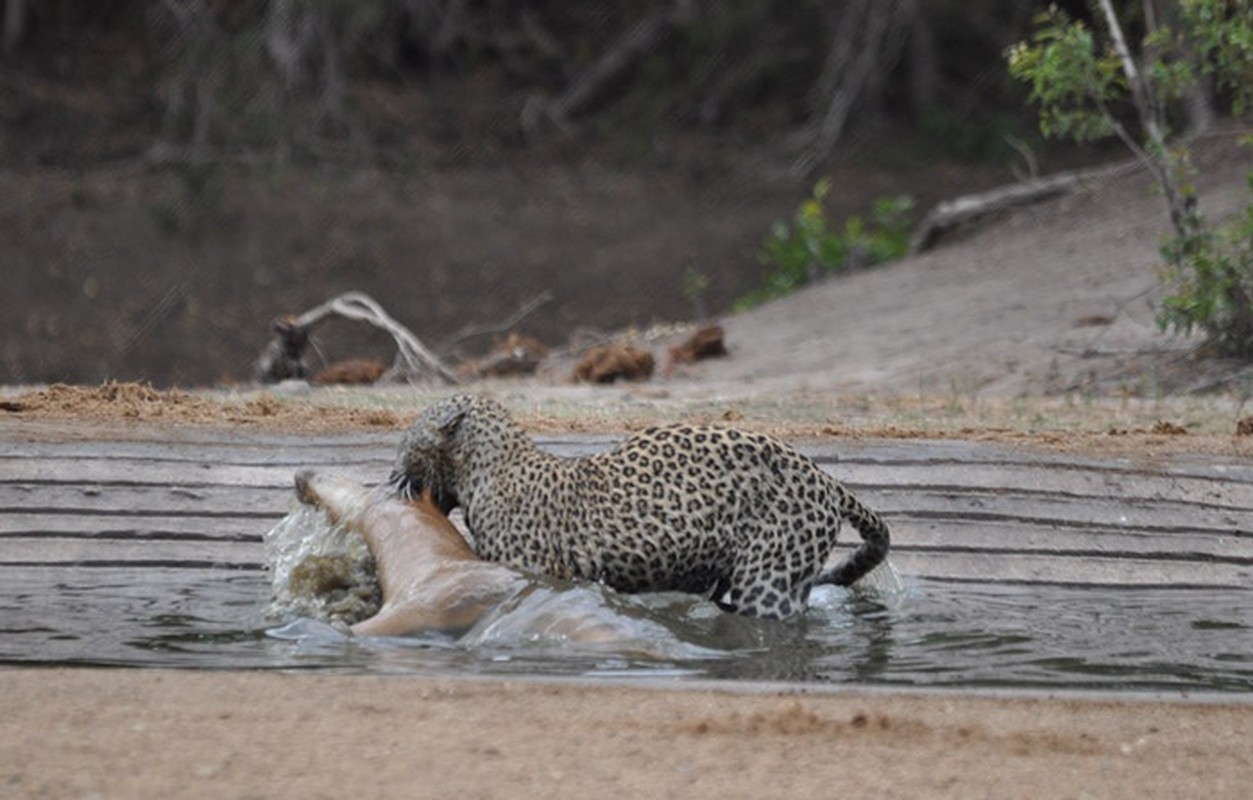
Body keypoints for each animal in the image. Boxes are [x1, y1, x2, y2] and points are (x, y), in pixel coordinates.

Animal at [385, 396, 887, 621]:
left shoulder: (530, 570)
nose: (393, 470)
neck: (485, 470)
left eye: (407, 437)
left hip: (770, 580)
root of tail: (826, 479)